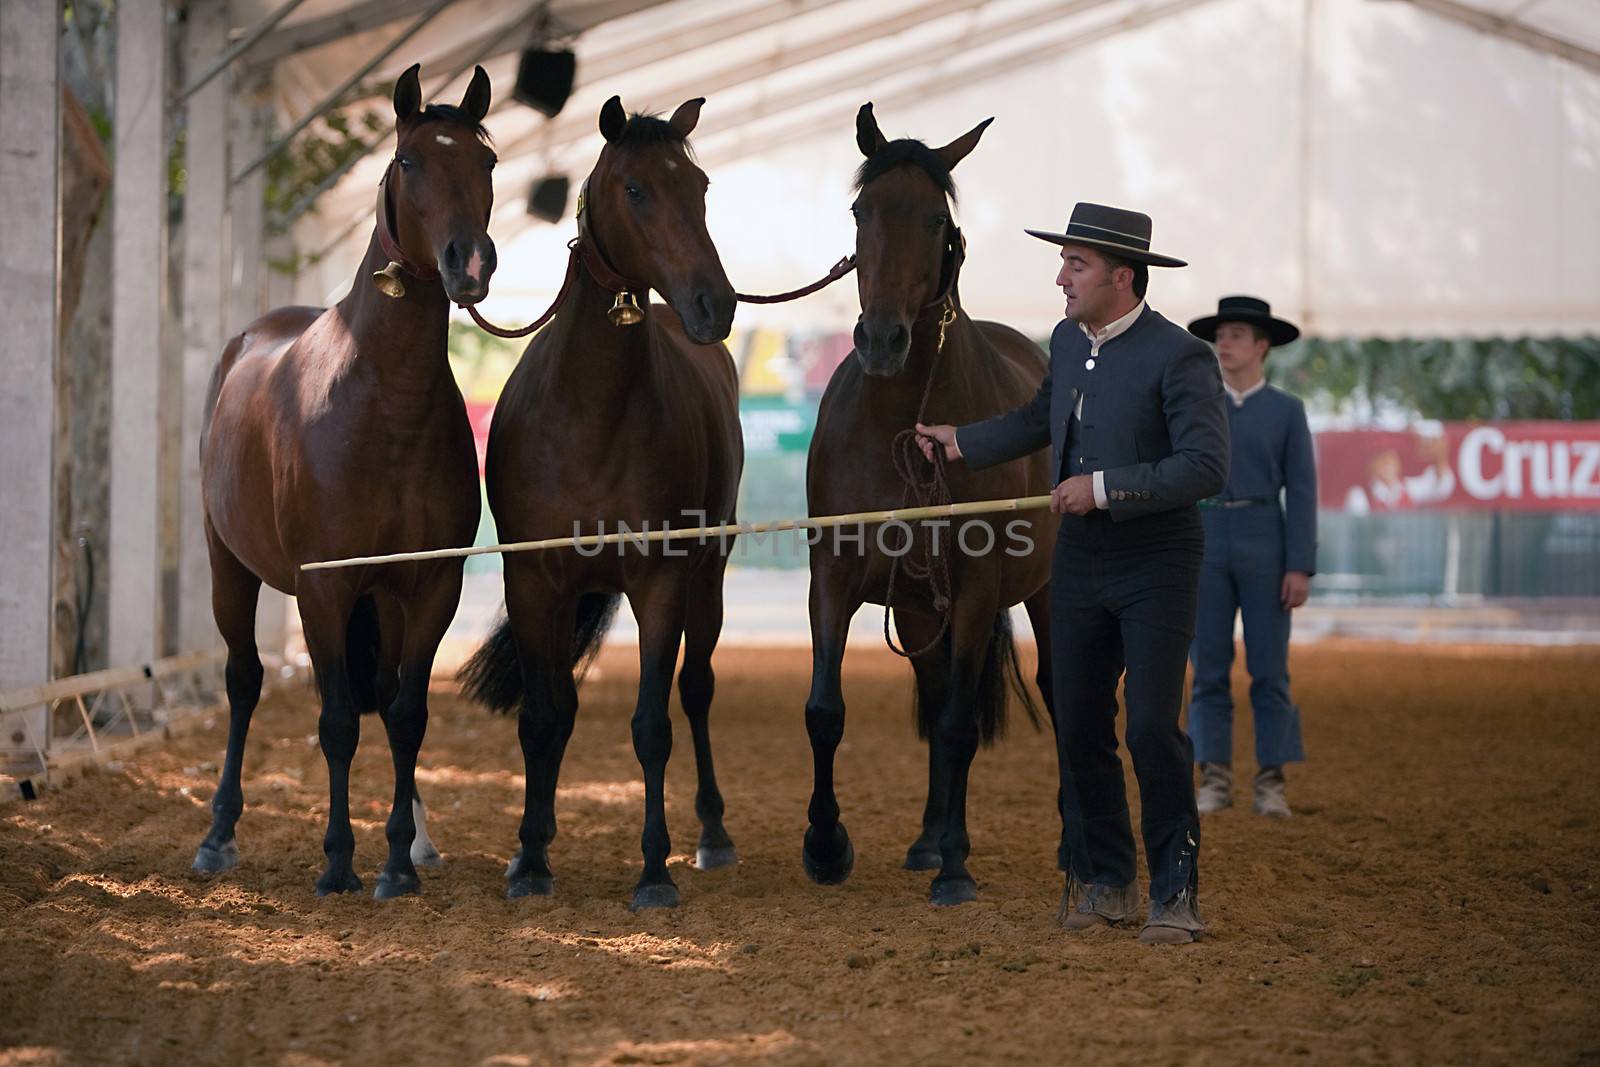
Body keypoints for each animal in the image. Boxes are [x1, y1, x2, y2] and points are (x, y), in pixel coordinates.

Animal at [192, 66, 492, 895]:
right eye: (410, 161)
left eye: (485, 161)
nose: (470, 262)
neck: (381, 403)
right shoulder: (324, 587)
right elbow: (333, 722)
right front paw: (336, 862)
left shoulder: (428, 586)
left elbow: (407, 713)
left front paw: (396, 860)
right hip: (229, 567)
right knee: (243, 680)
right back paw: (218, 834)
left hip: (379, 600)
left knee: (384, 696)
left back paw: (415, 841)